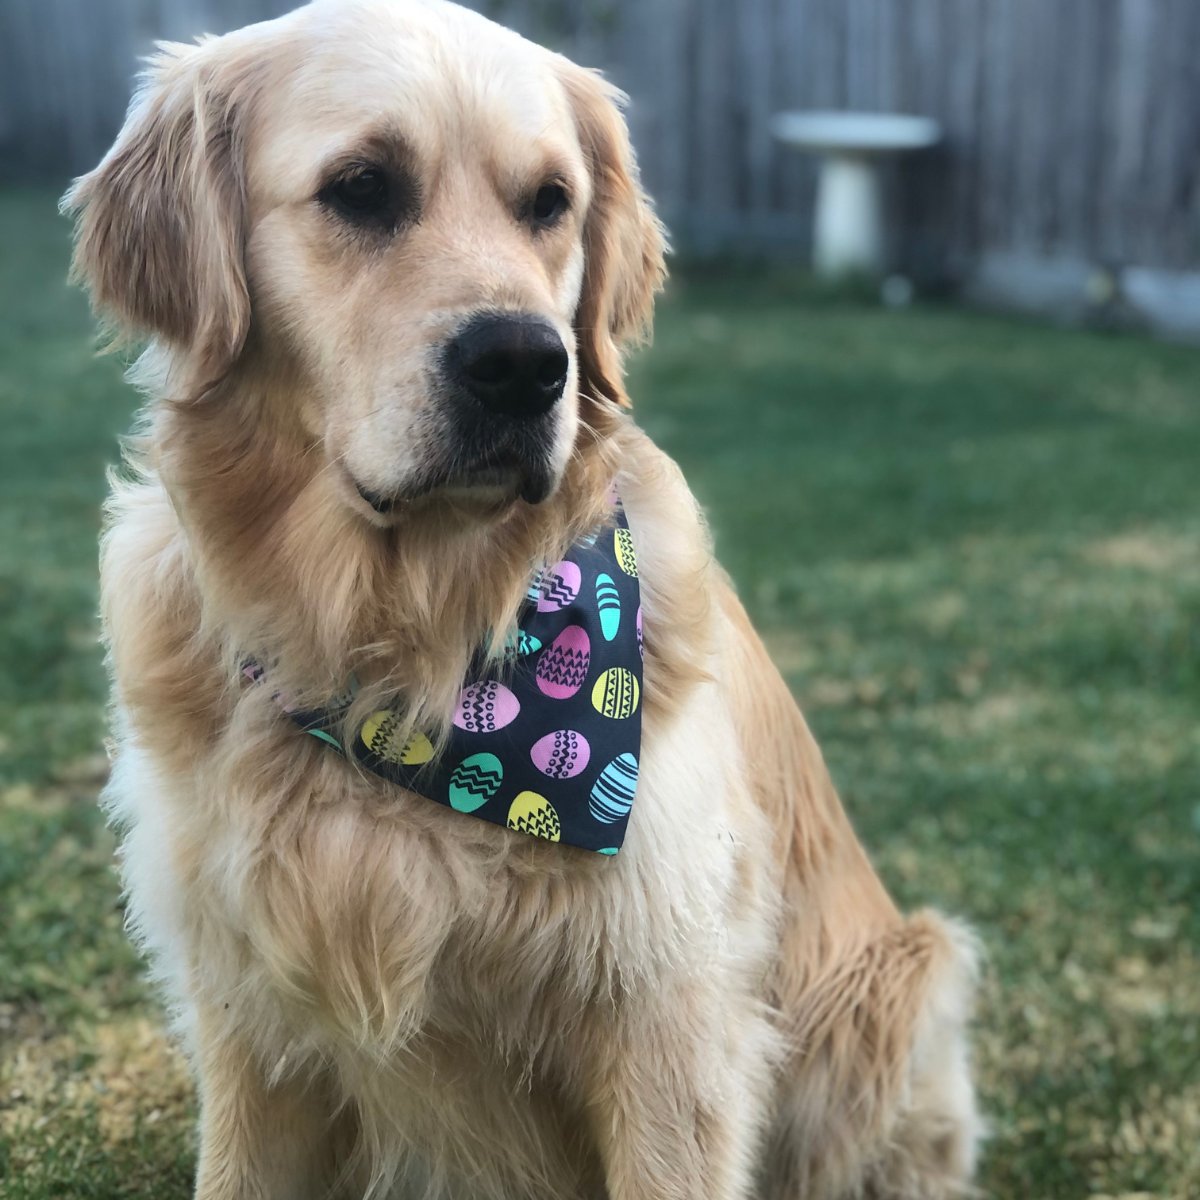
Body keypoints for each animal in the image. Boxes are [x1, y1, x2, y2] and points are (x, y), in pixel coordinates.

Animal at [65, 4, 979, 1195]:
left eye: (550, 202)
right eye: (362, 187)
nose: (523, 364)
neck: (408, 653)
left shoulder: (671, 1022)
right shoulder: (250, 1018)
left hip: (899, 994)